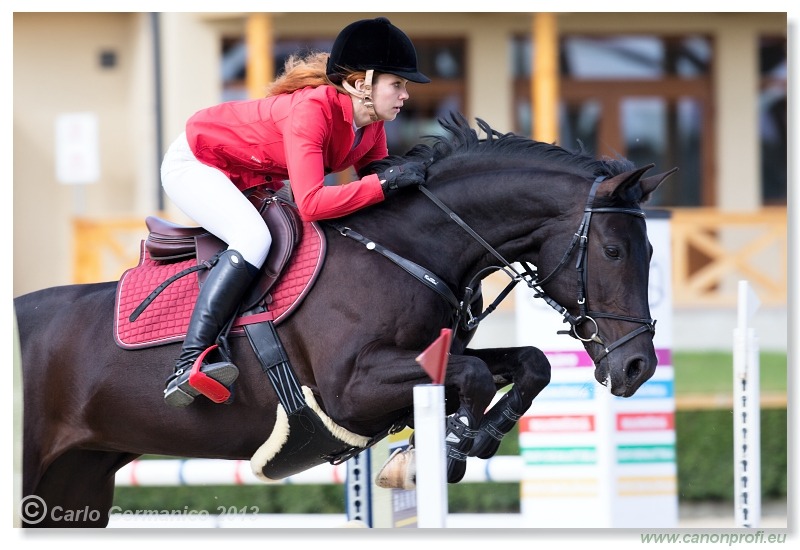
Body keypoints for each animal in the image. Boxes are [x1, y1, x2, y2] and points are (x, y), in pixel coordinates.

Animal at [15, 113, 676, 532]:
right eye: (613, 252)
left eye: (650, 251)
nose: (637, 367)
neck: (410, 248)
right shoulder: (350, 390)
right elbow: (474, 378)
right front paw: (448, 448)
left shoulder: (426, 361)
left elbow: (528, 365)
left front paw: (474, 438)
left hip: (73, 484)